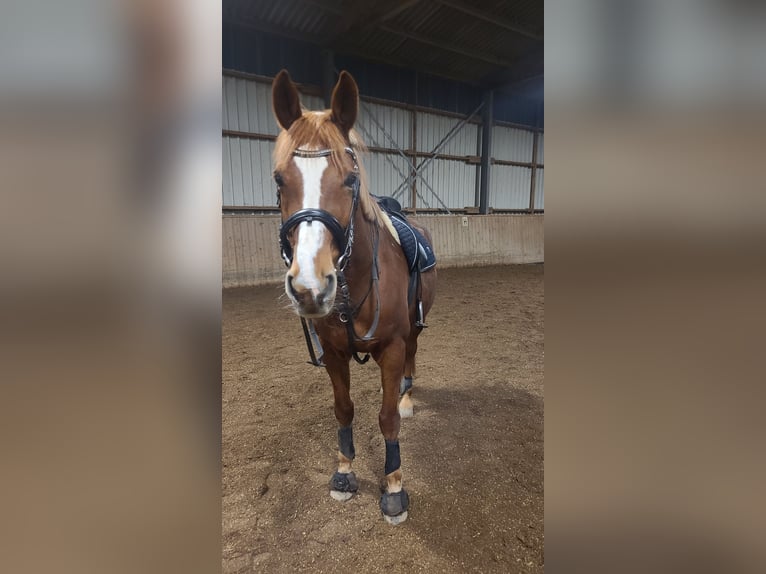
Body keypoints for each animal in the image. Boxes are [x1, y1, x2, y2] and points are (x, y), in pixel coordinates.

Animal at [271, 69, 437, 525]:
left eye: (349, 179)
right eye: (279, 179)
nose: (311, 286)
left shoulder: (393, 347)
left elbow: (386, 418)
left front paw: (394, 487)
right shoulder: (333, 351)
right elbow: (344, 409)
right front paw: (344, 471)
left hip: (415, 329)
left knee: (413, 359)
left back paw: (408, 399)